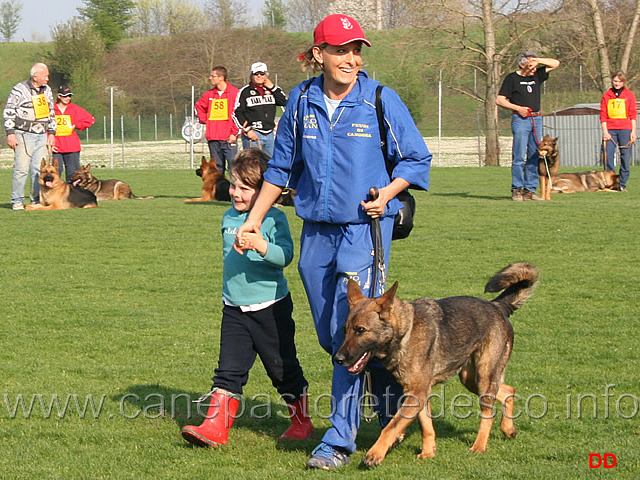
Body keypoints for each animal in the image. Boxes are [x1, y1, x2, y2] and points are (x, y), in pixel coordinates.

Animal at [336, 260, 540, 466]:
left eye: (360, 330)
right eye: (345, 330)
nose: (338, 359)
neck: (406, 333)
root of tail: (497, 306)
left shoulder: (416, 394)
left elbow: (392, 427)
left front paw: (375, 454)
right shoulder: (418, 394)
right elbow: (426, 426)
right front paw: (428, 452)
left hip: (484, 377)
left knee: (488, 413)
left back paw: (479, 446)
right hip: (471, 379)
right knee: (508, 391)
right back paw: (508, 429)